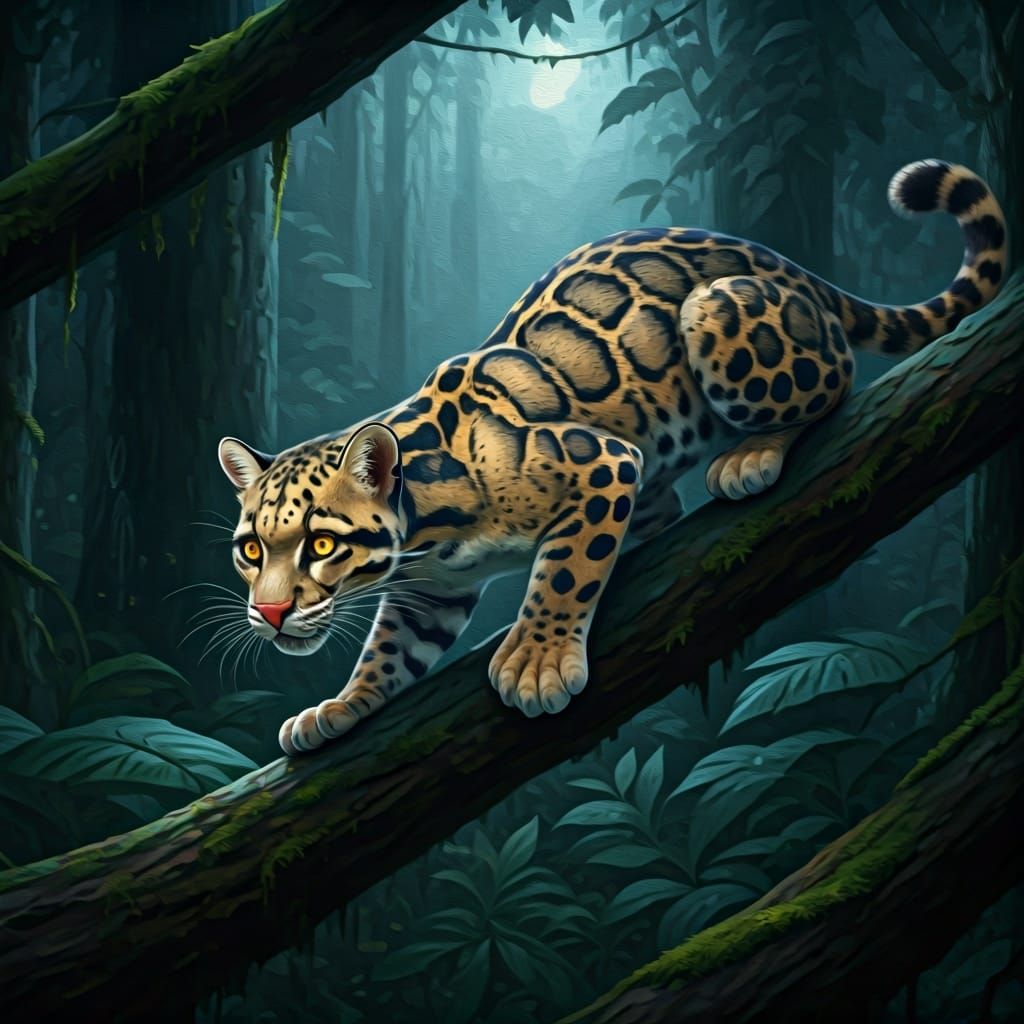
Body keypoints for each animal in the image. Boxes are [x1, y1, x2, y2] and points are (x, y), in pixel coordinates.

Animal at [216, 159, 1007, 755]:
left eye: (321, 544)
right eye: (251, 550)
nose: (271, 613)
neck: (427, 534)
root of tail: (790, 267)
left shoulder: (601, 462)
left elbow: (565, 572)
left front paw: (537, 663)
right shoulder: (434, 591)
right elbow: (388, 649)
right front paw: (341, 706)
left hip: (716, 313)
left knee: (837, 378)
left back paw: (751, 455)